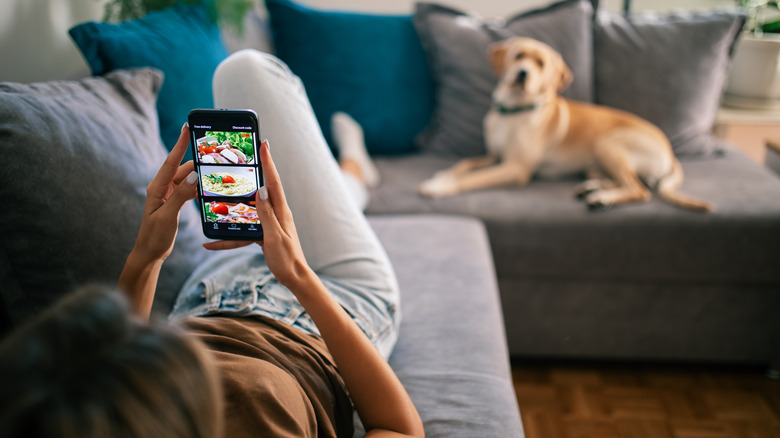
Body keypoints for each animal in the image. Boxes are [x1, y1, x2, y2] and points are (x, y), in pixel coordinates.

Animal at [420, 37, 712, 212]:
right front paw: (444, 174)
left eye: (540, 64)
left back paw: (603, 198)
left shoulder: (516, 168)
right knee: (624, 181)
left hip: (607, 143)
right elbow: (465, 164)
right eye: (519, 55)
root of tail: (671, 152)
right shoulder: (494, 155)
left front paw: (439, 187)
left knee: (640, 190)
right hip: (598, 160)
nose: (523, 74)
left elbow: (472, 178)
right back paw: (593, 188)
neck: (511, 112)